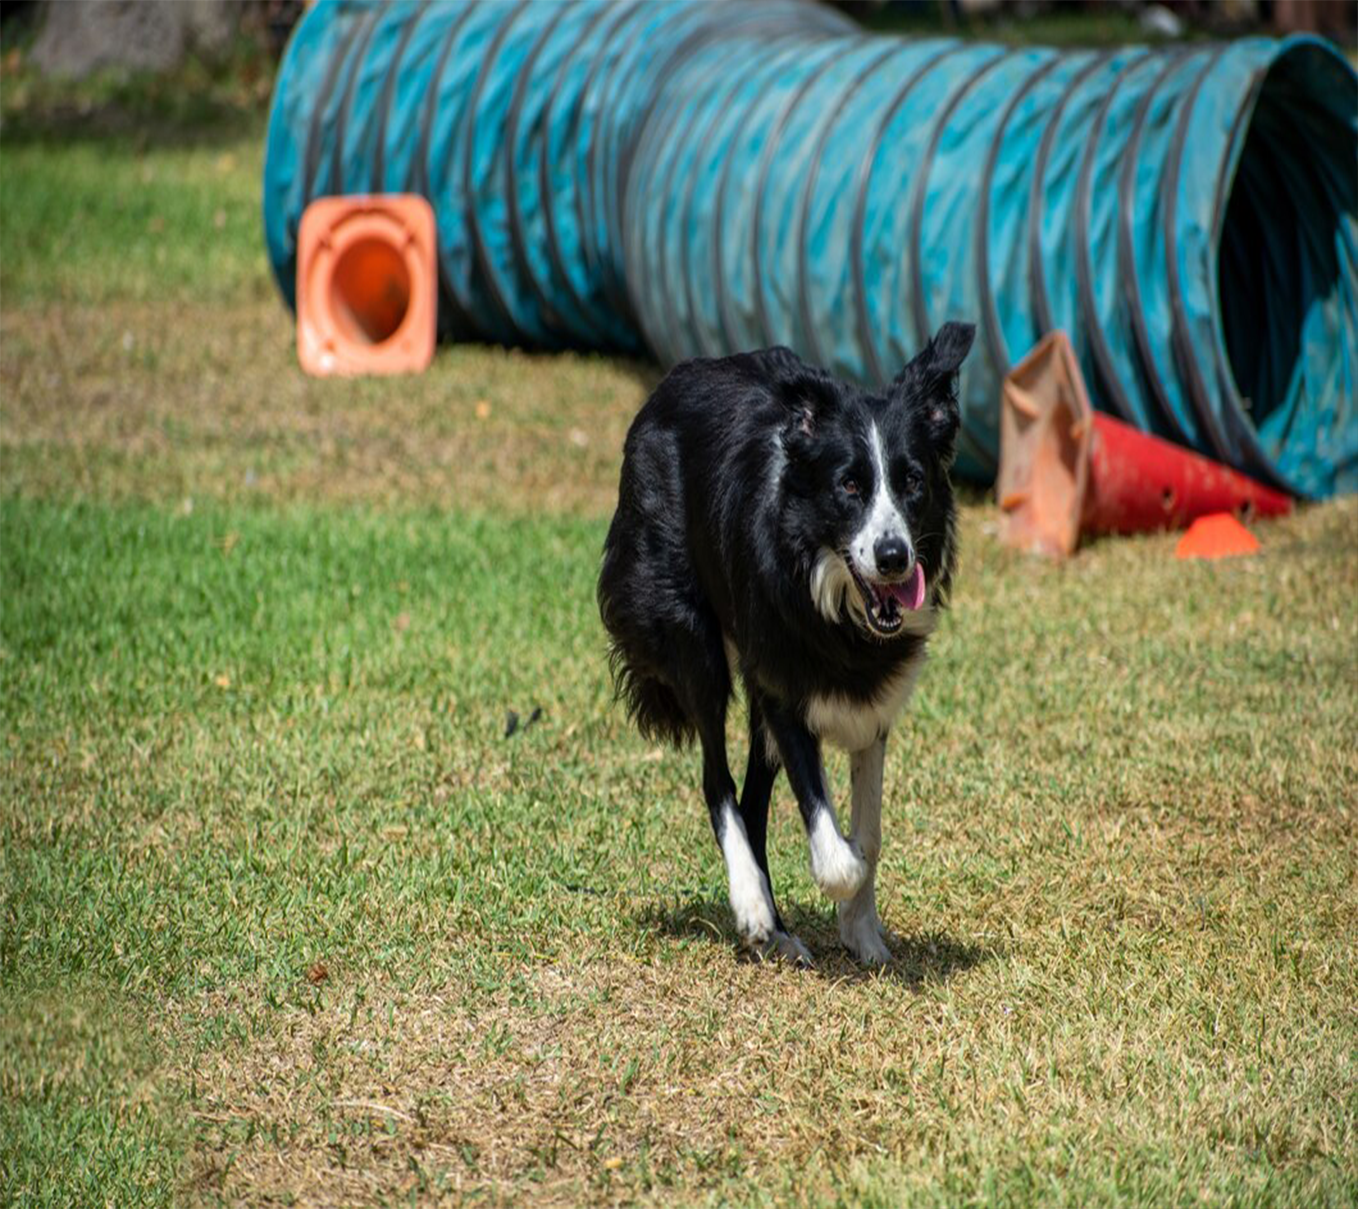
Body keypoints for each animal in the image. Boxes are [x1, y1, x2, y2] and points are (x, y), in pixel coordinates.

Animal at [600, 324, 972, 967]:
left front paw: (863, 933)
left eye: (913, 482)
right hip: (690, 635)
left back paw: (772, 930)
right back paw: (753, 910)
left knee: (752, 803)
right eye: (849, 485)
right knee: (718, 782)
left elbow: (869, 835)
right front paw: (831, 895)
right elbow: (838, 855)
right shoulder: (781, 687)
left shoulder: (872, 709)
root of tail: (675, 379)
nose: (893, 556)